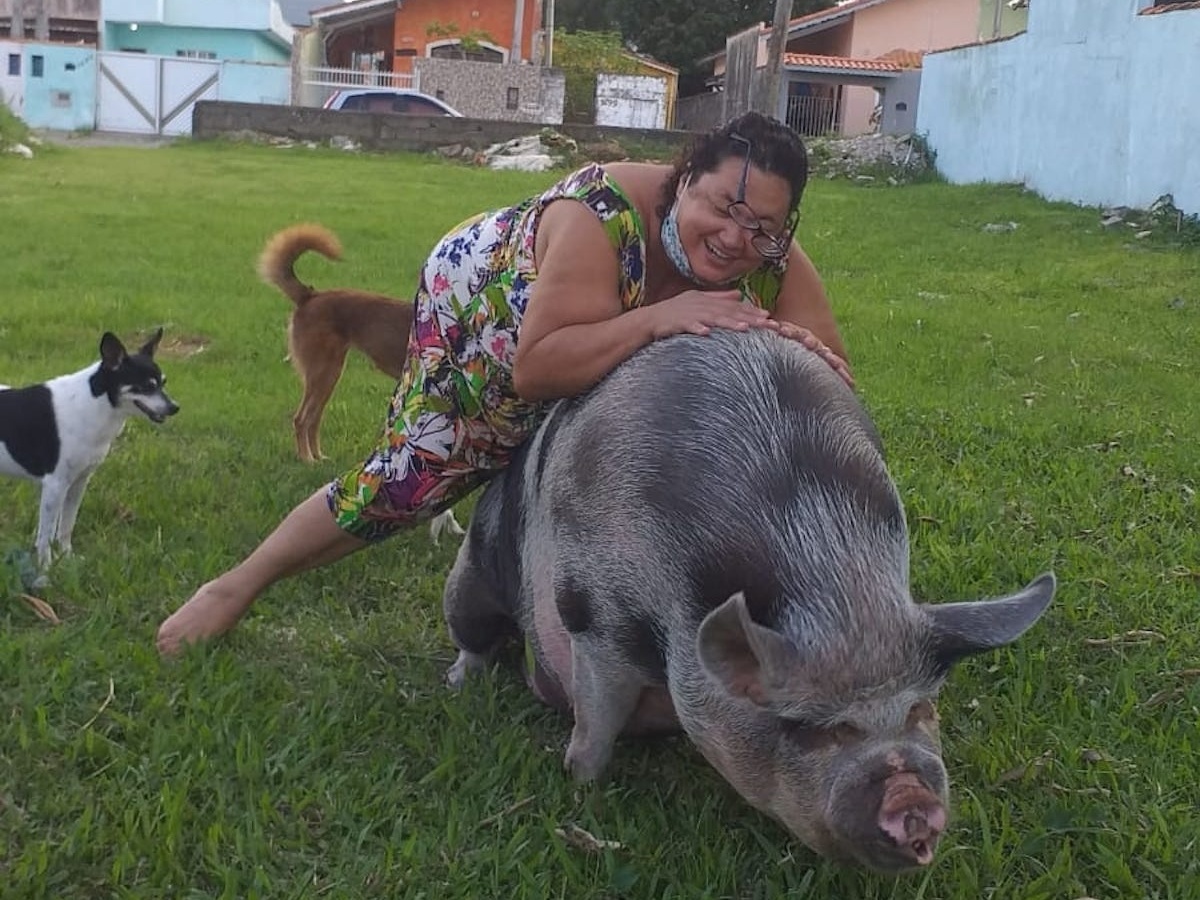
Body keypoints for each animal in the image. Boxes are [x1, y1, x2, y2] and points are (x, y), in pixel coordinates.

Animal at [0, 328, 178, 571]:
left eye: (163, 383)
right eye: (147, 386)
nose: (174, 407)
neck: (92, 403)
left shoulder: (78, 482)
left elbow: (66, 525)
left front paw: (67, 558)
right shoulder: (55, 486)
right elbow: (45, 535)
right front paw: (46, 568)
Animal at [441, 328, 1051, 873]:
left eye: (921, 708)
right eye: (808, 726)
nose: (911, 799)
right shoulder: (593, 618)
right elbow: (596, 720)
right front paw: (581, 787)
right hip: (472, 574)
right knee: (472, 631)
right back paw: (458, 682)